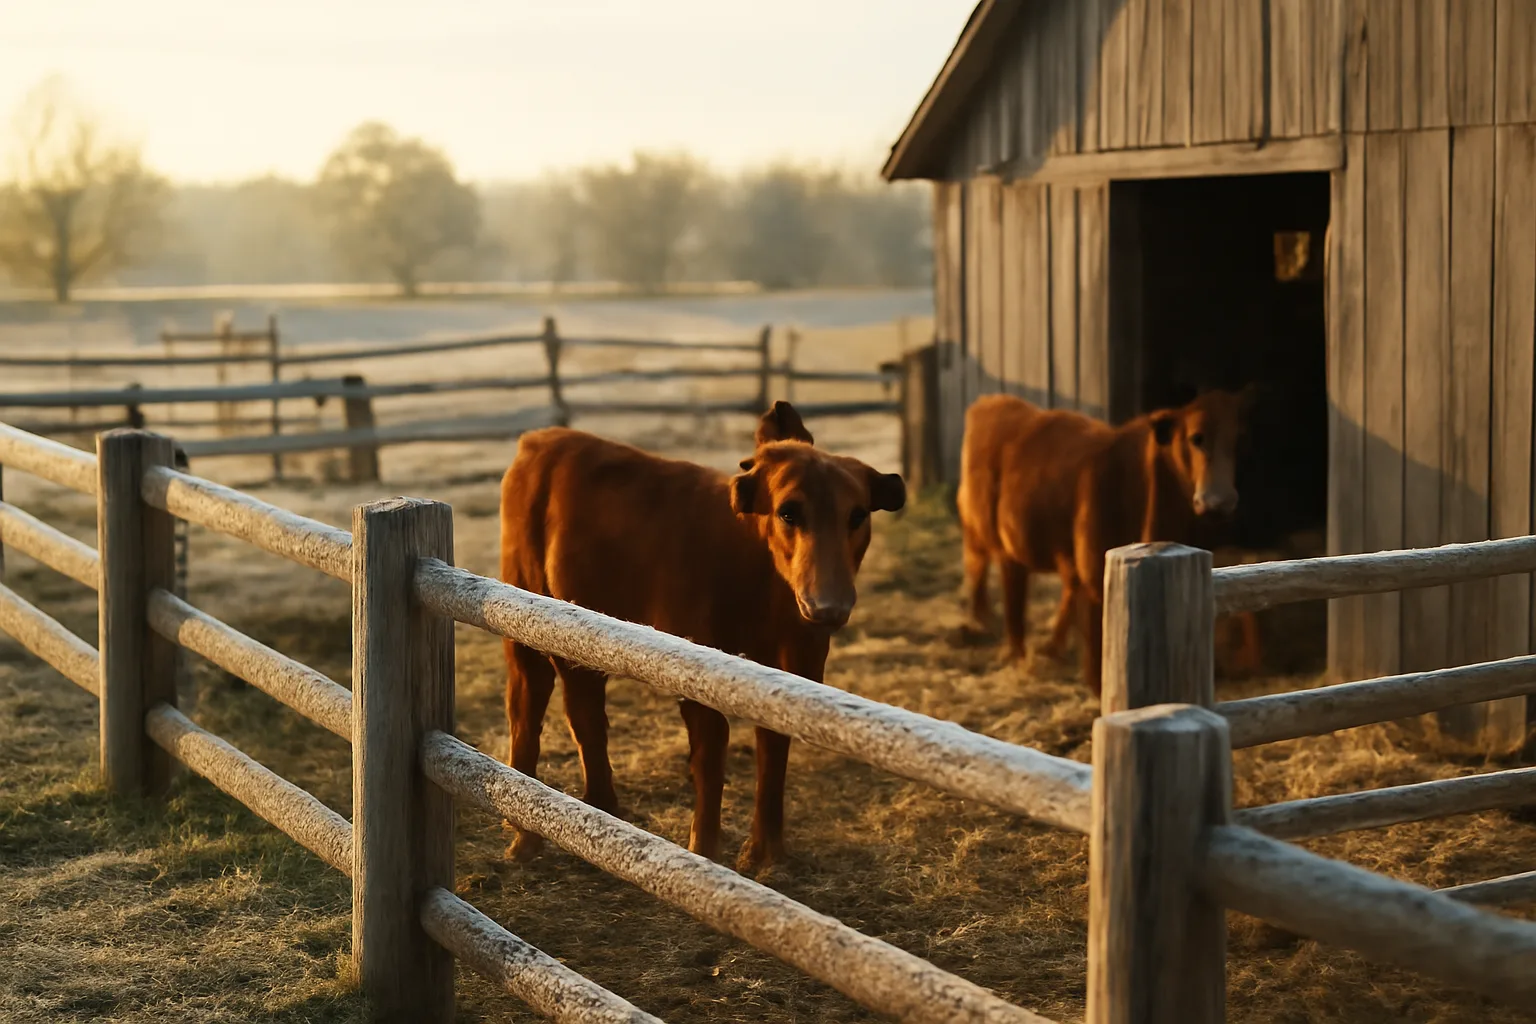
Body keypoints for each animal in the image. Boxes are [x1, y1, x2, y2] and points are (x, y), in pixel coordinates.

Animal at [499, 401, 905, 873]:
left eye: (857, 515)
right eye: (788, 511)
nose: (829, 605)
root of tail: (541, 439)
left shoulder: (800, 658)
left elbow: (774, 741)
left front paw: (767, 853)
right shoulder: (695, 666)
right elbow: (710, 754)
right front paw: (705, 850)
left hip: (580, 639)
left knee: (584, 710)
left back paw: (601, 808)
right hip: (523, 626)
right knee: (527, 706)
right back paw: (524, 838)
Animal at [956, 388, 1252, 695]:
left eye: (1238, 439)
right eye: (1196, 438)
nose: (1219, 502)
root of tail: (992, 400)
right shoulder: (1095, 576)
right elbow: (1097, 644)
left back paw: (1045, 647)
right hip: (987, 533)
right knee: (990, 575)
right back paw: (997, 634)